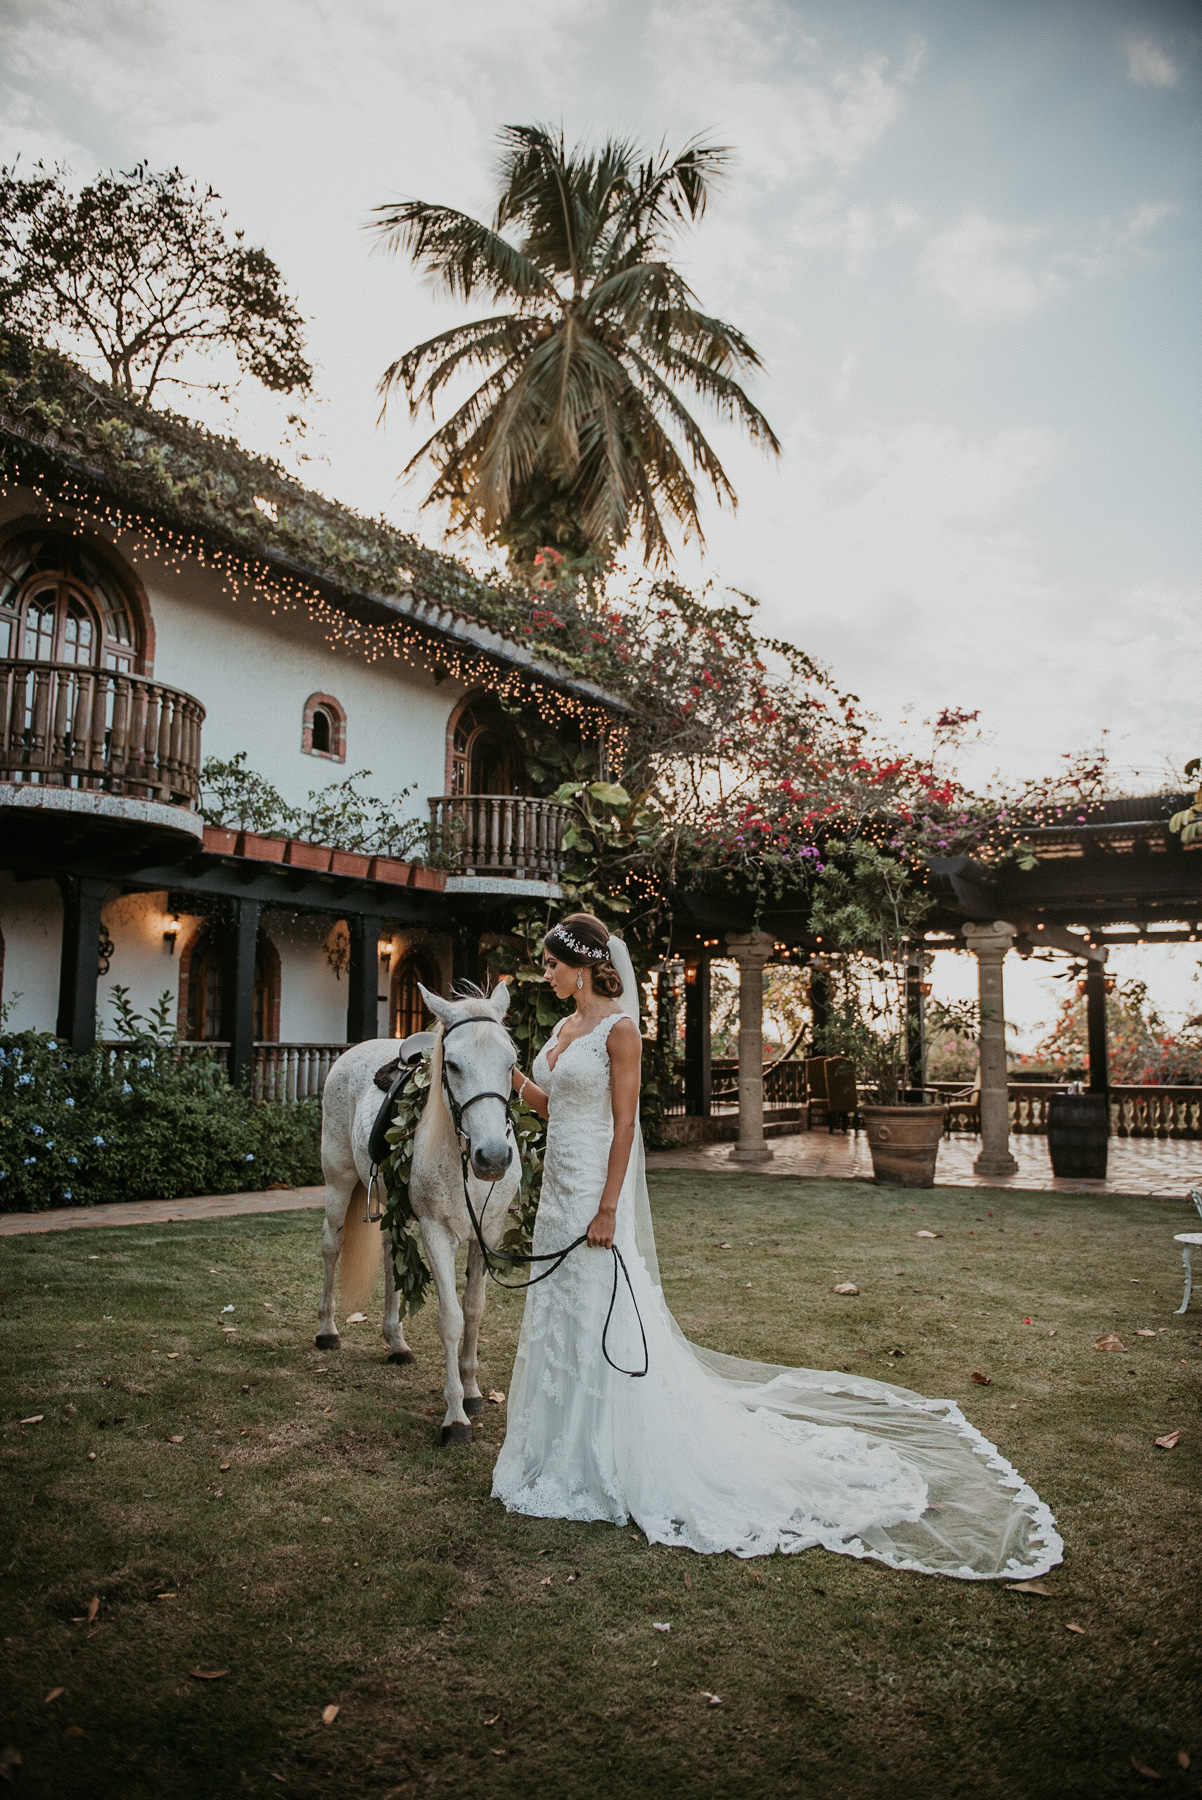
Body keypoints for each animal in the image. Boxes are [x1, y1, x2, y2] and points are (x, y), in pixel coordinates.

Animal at [314, 986, 518, 1447]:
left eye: (512, 1062)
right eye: (453, 1065)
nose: (493, 1158)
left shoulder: (487, 1234)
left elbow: (474, 1310)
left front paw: (473, 1392)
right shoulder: (436, 1233)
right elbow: (451, 1319)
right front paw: (455, 1417)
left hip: (393, 1207)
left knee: (392, 1254)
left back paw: (396, 1343)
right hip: (338, 1184)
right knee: (332, 1247)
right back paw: (327, 1331)